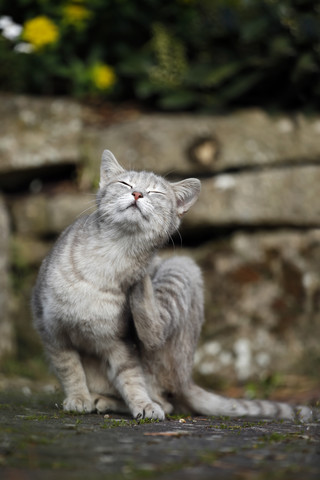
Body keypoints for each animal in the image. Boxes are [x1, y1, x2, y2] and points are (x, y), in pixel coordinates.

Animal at [31, 149, 312, 420]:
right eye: (124, 183)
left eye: (155, 192)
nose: (137, 193)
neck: (112, 256)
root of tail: (186, 378)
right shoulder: (52, 331)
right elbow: (70, 369)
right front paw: (78, 398)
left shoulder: (120, 343)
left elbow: (131, 378)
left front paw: (143, 405)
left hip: (181, 267)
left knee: (162, 375)